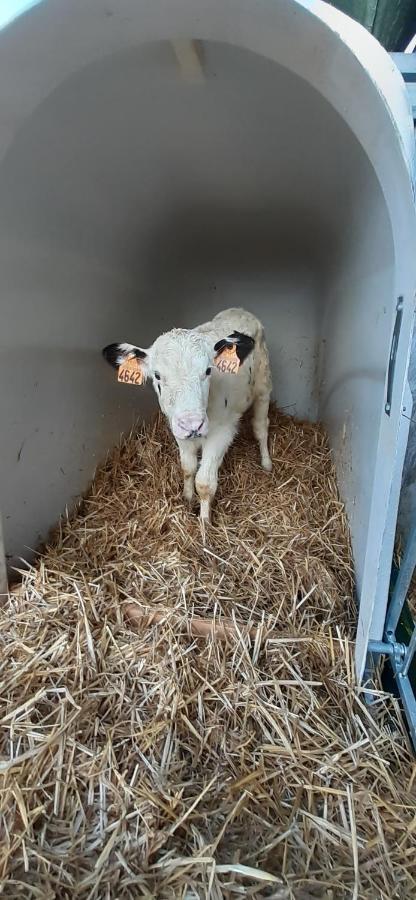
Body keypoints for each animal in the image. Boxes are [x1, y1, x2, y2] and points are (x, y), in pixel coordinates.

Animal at [102, 310, 272, 520]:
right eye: (157, 375)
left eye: (208, 370)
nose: (193, 424)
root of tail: (240, 310)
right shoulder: (178, 429)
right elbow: (188, 467)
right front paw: (187, 498)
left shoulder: (222, 432)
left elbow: (204, 482)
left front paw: (204, 522)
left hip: (264, 385)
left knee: (261, 427)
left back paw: (266, 462)